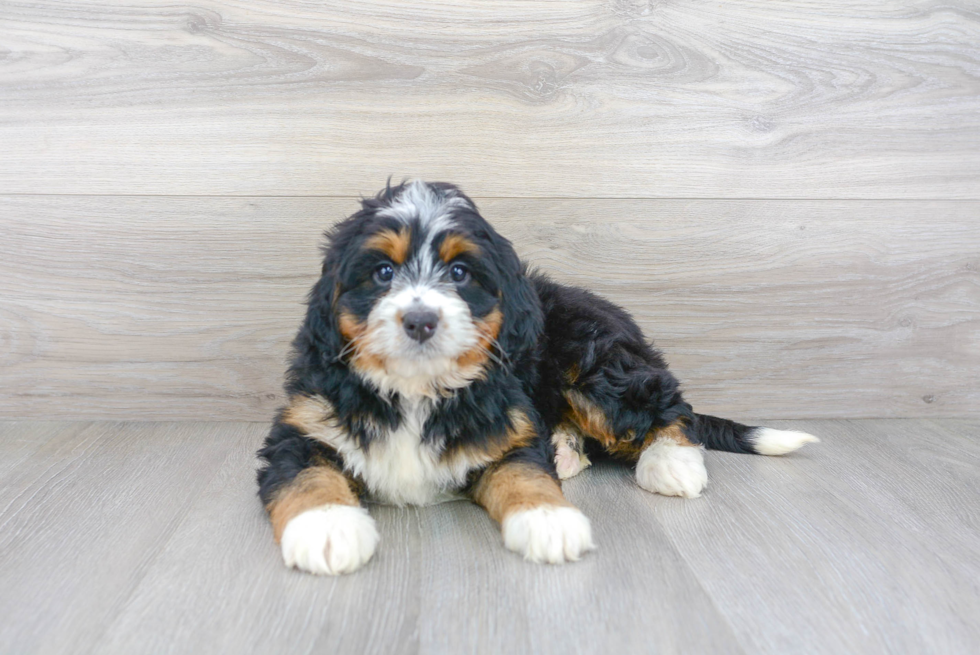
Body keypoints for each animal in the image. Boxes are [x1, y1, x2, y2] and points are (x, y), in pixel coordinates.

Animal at [255, 179, 820, 576]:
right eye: (382, 273)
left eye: (459, 273)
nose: (420, 320)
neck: (418, 389)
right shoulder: (303, 425)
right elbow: (307, 474)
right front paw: (328, 527)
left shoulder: (510, 429)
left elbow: (524, 472)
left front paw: (549, 521)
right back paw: (569, 450)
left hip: (593, 363)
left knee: (667, 404)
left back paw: (671, 462)